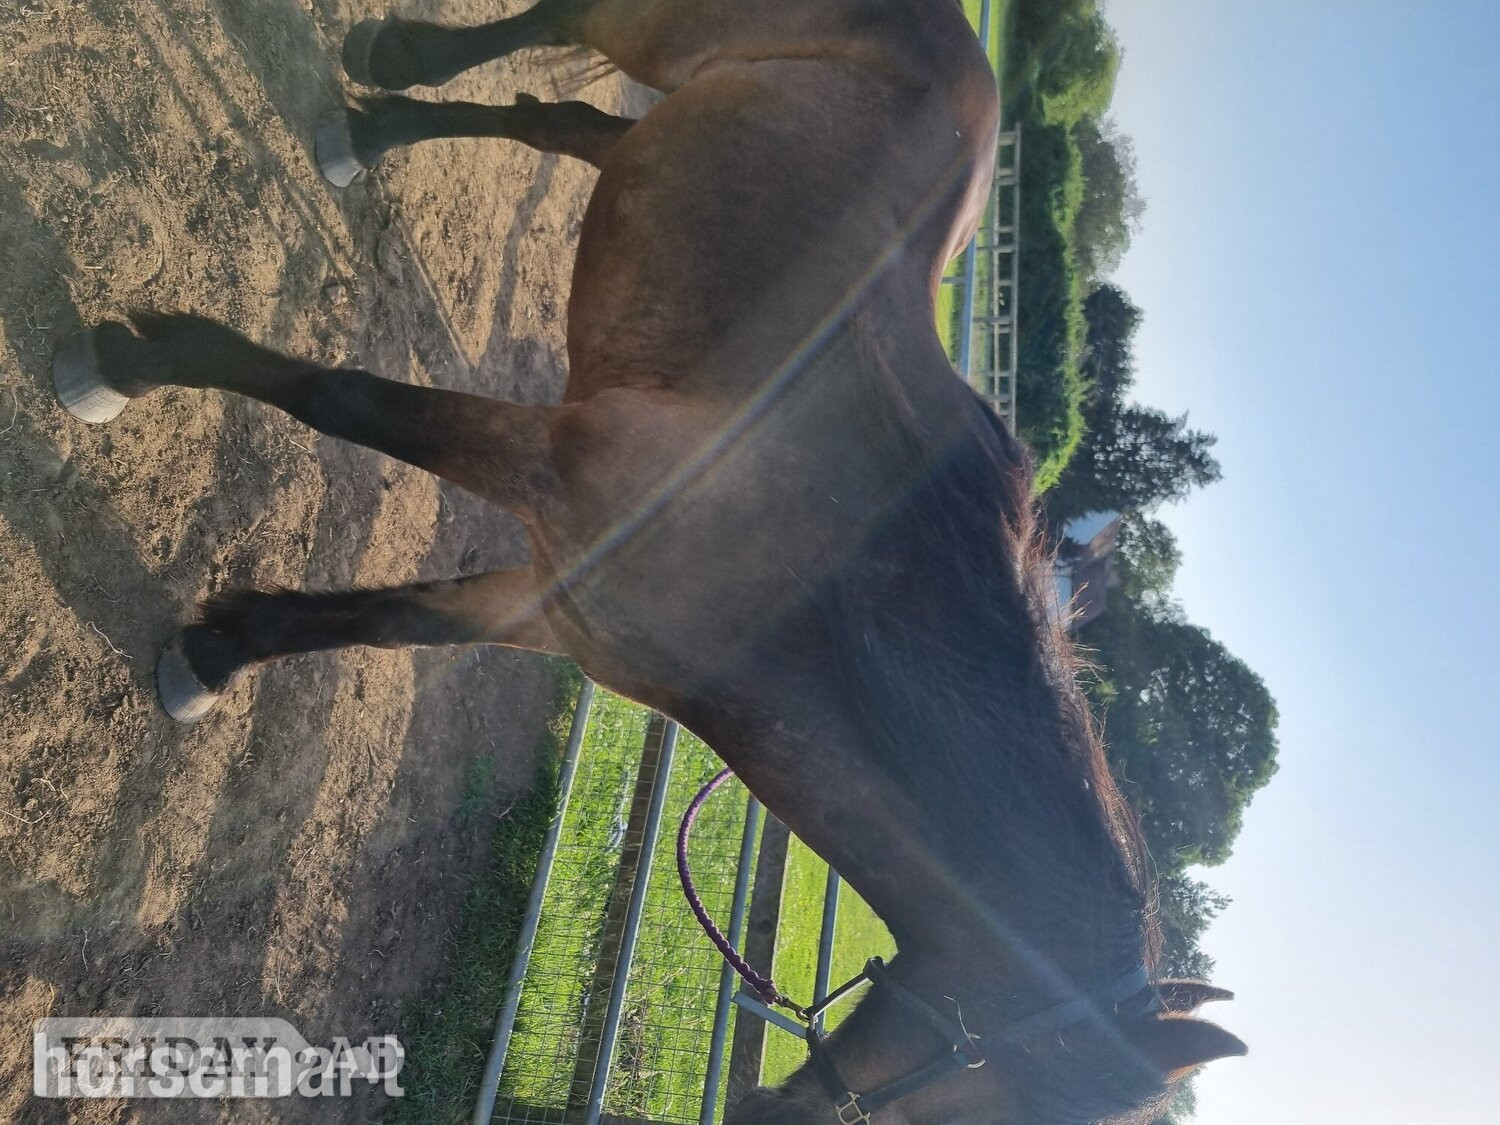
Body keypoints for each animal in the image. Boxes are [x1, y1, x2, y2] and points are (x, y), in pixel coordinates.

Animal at [52, 0, 1247, 1120]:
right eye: (1004, 1097)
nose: (765, 1116)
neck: (807, 579)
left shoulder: (557, 598)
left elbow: (387, 620)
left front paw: (216, 656)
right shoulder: (551, 470)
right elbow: (339, 400)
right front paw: (131, 362)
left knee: (569, 127)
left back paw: (378, 126)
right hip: (654, 35)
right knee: (556, 31)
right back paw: (392, 66)